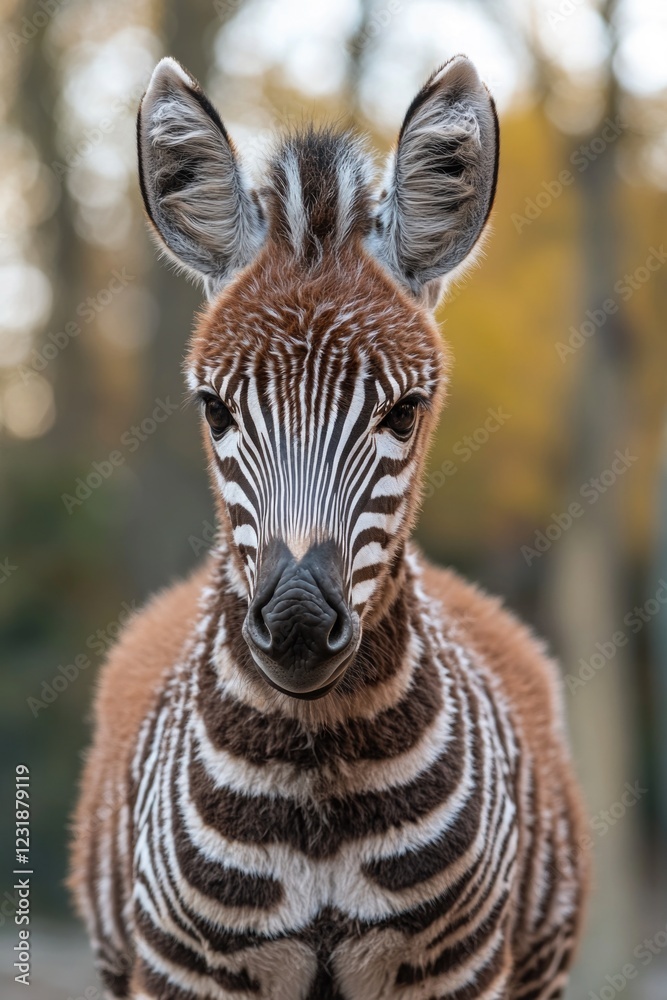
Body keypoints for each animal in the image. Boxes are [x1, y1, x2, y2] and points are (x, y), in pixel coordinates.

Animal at [70, 54, 589, 999]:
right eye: (213, 409)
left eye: (405, 412)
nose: (300, 627)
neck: (317, 774)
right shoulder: (186, 970)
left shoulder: (455, 970)